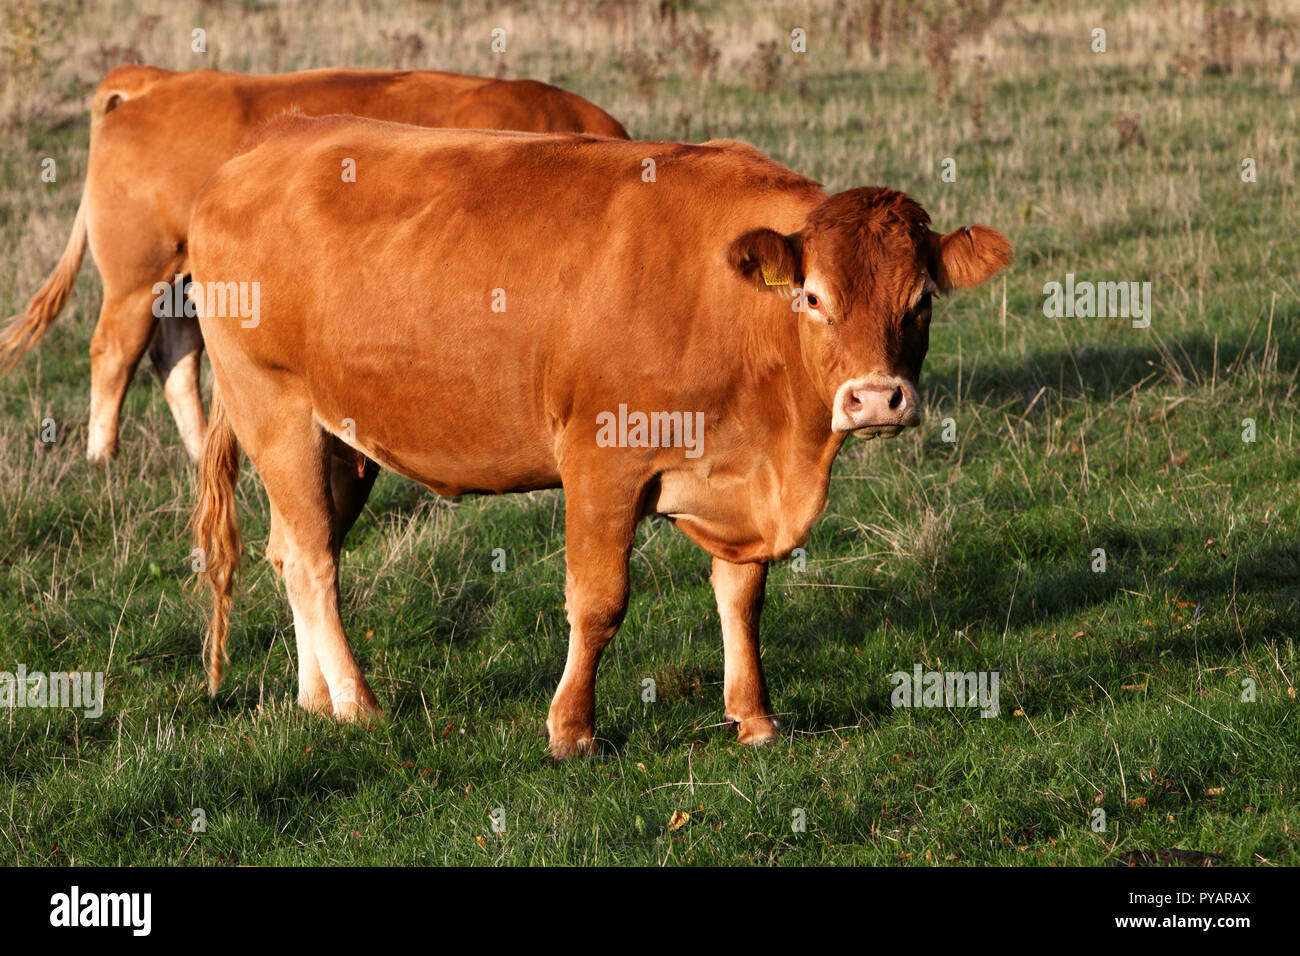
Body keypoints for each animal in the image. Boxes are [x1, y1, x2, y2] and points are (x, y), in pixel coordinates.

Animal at [0, 66, 628, 463]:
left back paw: (199, 450)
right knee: (114, 353)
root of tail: (161, 80)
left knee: (175, 356)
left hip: (183, 284)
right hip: (136, 274)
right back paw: (101, 457)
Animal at [189, 116, 1012, 759]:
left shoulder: (739, 483)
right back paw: (359, 705)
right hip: (275, 408)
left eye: (921, 300)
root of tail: (271, 140)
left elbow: (742, 597)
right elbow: (598, 602)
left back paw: (317, 700)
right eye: (813, 297)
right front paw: (571, 730)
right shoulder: (600, 460)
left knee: (290, 548)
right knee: (315, 562)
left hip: (343, 443)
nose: (875, 399)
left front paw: (754, 716)